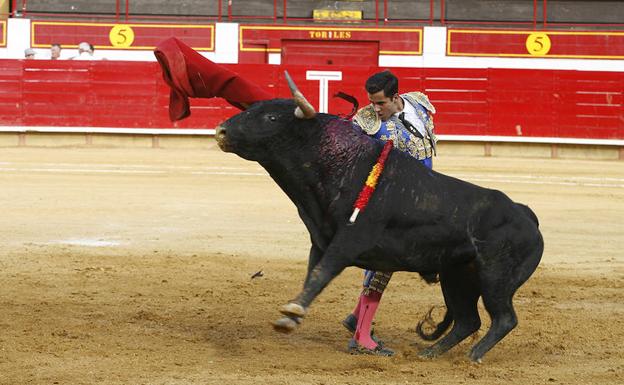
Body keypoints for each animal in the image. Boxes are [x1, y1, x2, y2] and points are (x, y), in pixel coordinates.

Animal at [214, 86, 540, 360]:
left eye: (270, 117)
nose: (221, 130)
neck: (340, 163)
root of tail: (526, 214)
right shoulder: (321, 241)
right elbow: (313, 275)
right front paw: (291, 315)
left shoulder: (349, 241)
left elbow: (321, 273)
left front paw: (292, 312)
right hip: (457, 276)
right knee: (467, 320)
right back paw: (430, 353)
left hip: (495, 279)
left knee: (504, 318)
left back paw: (474, 356)